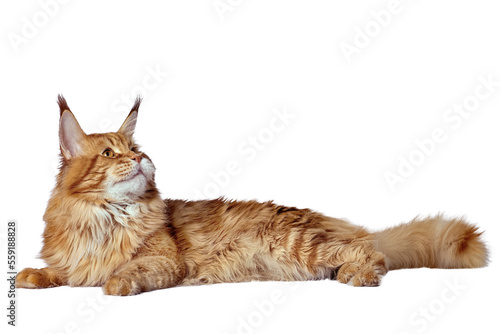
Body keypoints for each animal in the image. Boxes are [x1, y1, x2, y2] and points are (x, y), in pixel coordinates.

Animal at [15, 95, 488, 296]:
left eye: (137, 149)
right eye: (110, 153)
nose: (142, 159)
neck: (106, 218)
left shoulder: (164, 260)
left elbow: (128, 270)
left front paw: (117, 283)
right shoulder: (74, 260)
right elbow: (61, 272)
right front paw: (32, 277)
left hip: (303, 245)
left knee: (374, 255)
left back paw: (358, 275)